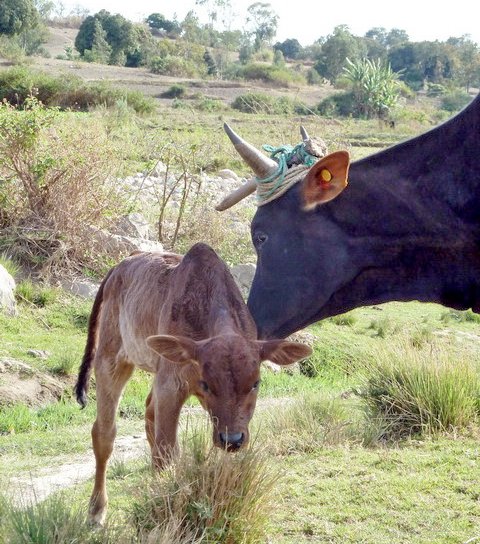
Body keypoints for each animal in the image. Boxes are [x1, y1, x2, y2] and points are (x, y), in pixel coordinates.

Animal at [73, 242, 310, 524]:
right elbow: (167, 450)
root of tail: (121, 264)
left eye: (255, 384)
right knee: (104, 434)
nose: (233, 439)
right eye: (206, 384)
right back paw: (97, 510)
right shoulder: (170, 386)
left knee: (148, 414)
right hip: (112, 358)